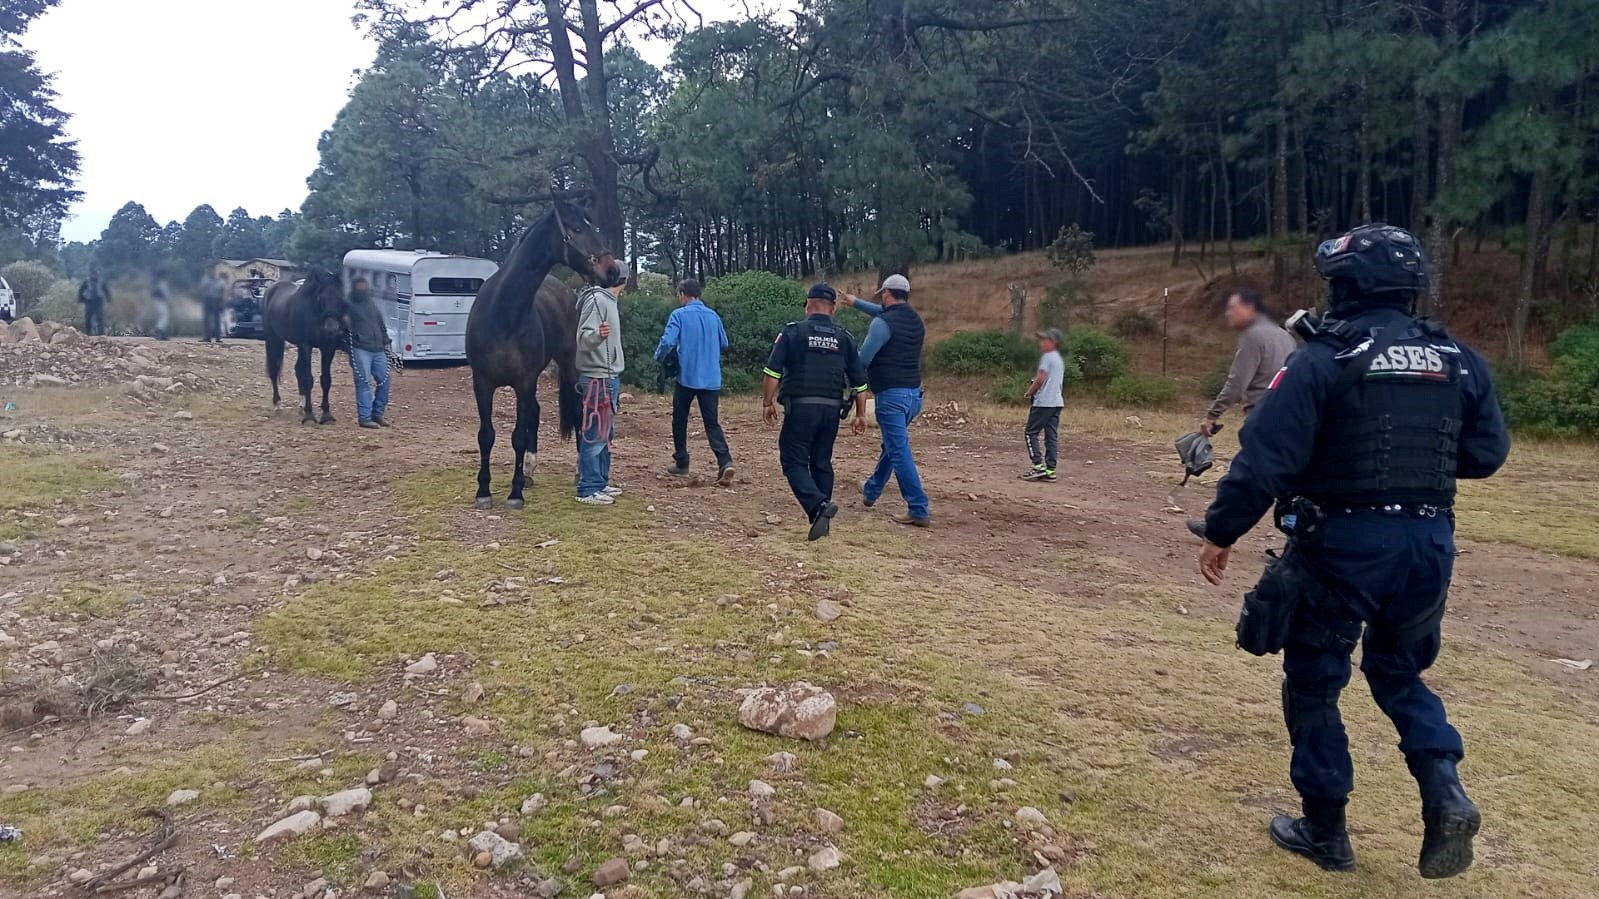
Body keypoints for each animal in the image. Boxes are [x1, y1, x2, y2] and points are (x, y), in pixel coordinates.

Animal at [263, 270, 349, 425]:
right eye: (320, 297)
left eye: (341, 297)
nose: (331, 329)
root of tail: (271, 289)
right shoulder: (306, 345)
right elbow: (308, 379)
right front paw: (309, 416)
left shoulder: (328, 347)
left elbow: (326, 380)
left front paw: (326, 415)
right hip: (273, 338)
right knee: (274, 370)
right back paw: (277, 404)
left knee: (297, 369)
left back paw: (301, 404)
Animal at [465, 198, 624, 510]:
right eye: (577, 229)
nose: (611, 270)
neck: (502, 313)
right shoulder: (482, 382)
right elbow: (486, 436)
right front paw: (483, 491)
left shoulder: (524, 381)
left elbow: (517, 436)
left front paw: (514, 493)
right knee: (535, 414)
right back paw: (529, 470)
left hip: (566, 368)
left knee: (578, 413)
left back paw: (577, 471)